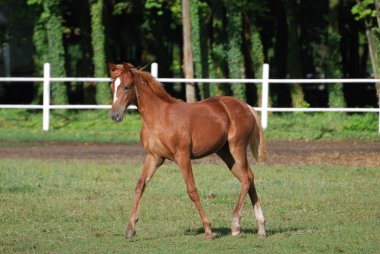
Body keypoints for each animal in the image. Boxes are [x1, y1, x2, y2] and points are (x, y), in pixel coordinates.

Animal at [108, 62, 266, 239]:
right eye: (111, 87)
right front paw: (130, 228)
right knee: (249, 178)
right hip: (225, 152)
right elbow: (140, 185)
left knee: (246, 178)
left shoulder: (182, 156)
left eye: (127, 87)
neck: (159, 118)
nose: (114, 115)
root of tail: (245, 106)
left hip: (236, 147)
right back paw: (261, 228)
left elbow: (192, 190)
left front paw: (208, 230)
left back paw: (236, 225)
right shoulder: (154, 157)